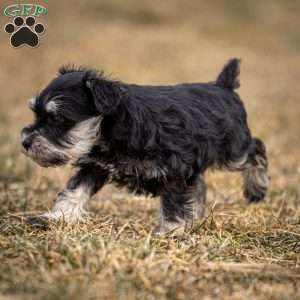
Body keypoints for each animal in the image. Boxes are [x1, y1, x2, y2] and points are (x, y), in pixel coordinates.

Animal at [21, 58, 270, 232]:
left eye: (57, 118)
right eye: (35, 113)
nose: (25, 142)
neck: (113, 129)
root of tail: (224, 87)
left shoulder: (174, 171)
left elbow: (173, 204)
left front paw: (171, 232)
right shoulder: (94, 166)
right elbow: (74, 192)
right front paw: (54, 218)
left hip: (233, 149)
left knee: (256, 149)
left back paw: (256, 189)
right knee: (199, 184)